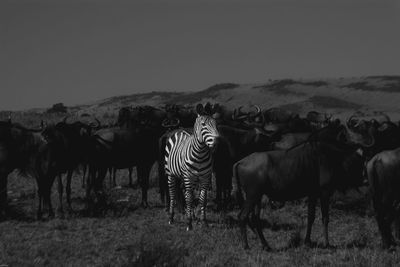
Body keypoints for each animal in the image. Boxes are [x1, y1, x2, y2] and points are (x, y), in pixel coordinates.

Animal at [166, 103, 222, 231]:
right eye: (204, 124)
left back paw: (192, 215)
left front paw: (203, 221)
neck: (200, 154)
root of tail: (180, 129)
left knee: (186, 192)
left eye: (216, 124)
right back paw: (171, 218)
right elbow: (190, 199)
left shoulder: (205, 178)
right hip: (171, 174)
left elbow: (202, 199)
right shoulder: (188, 177)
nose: (217, 142)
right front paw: (189, 223)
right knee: (173, 193)